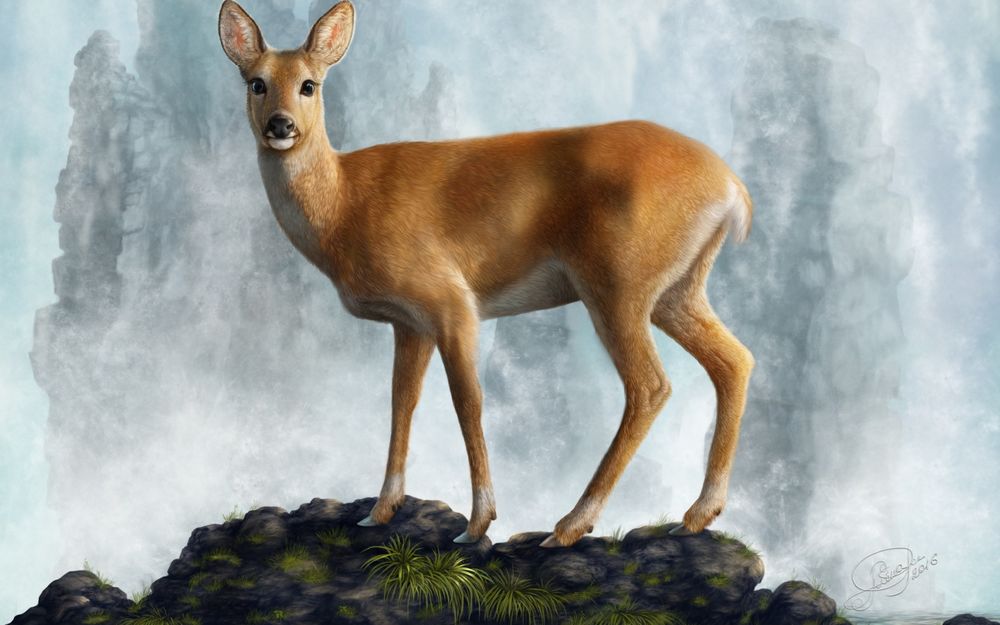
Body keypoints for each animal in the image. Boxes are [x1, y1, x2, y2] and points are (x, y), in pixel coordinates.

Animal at [218, 0, 755, 548]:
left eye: (310, 84)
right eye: (256, 82)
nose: (280, 125)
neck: (346, 204)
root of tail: (733, 189)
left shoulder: (450, 298)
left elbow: (468, 401)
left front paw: (478, 522)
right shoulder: (409, 322)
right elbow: (401, 403)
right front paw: (381, 510)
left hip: (618, 281)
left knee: (650, 385)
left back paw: (570, 524)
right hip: (677, 288)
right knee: (735, 360)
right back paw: (698, 513)